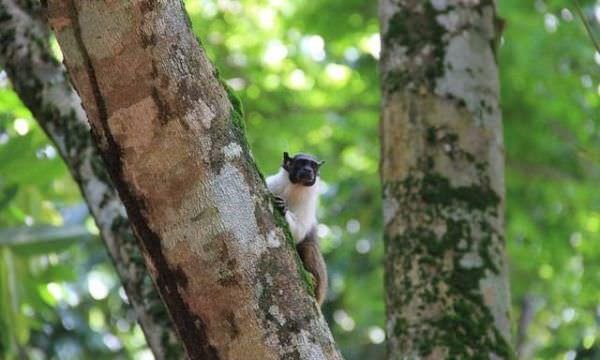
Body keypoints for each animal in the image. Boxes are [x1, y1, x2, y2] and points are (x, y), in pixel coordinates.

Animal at [268, 150, 328, 306]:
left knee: (309, 248)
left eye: (313, 166)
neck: (296, 188)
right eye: (301, 163)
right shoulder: (272, 185)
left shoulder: (308, 203)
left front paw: (284, 210)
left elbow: (300, 232)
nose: (308, 170)